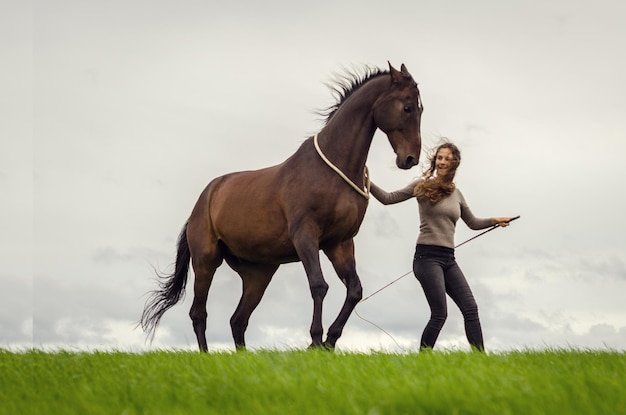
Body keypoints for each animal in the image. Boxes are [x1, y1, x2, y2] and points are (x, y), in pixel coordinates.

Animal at [140, 63, 424, 352]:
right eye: (407, 107)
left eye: (420, 109)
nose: (410, 158)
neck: (331, 169)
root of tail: (204, 200)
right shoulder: (305, 236)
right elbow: (319, 285)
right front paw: (315, 340)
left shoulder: (340, 243)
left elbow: (354, 290)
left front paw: (330, 340)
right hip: (206, 260)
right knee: (199, 313)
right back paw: (206, 355)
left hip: (259, 274)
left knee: (237, 320)